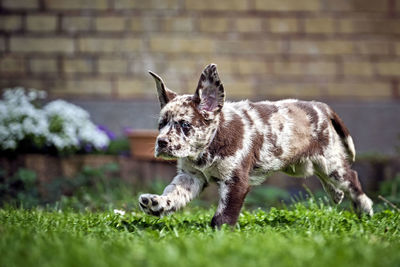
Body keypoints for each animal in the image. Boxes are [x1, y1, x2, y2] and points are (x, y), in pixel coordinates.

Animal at [139, 63, 374, 228]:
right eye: (161, 125)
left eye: (185, 125)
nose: (161, 142)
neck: (208, 148)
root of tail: (322, 107)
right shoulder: (190, 177)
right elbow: (174, 194)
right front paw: (157, 203)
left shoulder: (236, 181)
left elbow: (224, 215)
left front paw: (218, 235)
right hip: (303, 166)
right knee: (325, 177)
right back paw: (336, 195)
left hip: (330, 162)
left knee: (351, 178)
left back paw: (364, 208)